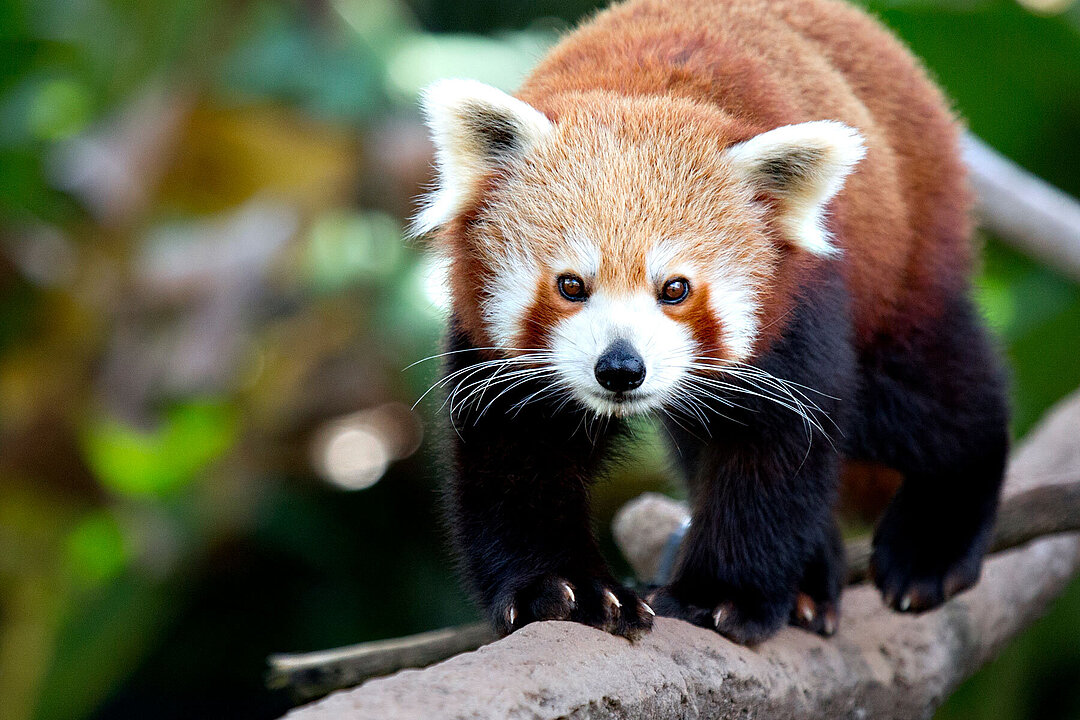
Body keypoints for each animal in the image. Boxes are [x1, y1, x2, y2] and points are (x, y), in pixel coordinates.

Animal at [410, 0, 1002, 643]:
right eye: (571, 285)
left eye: (675, 289)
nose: (621, 368)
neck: (642, 92)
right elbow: (517, 453)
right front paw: (565, 589)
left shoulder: (798, 308)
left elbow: (772, 452)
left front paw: (721, 595)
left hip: (908, 254)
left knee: (933, 396)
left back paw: (933, 545)